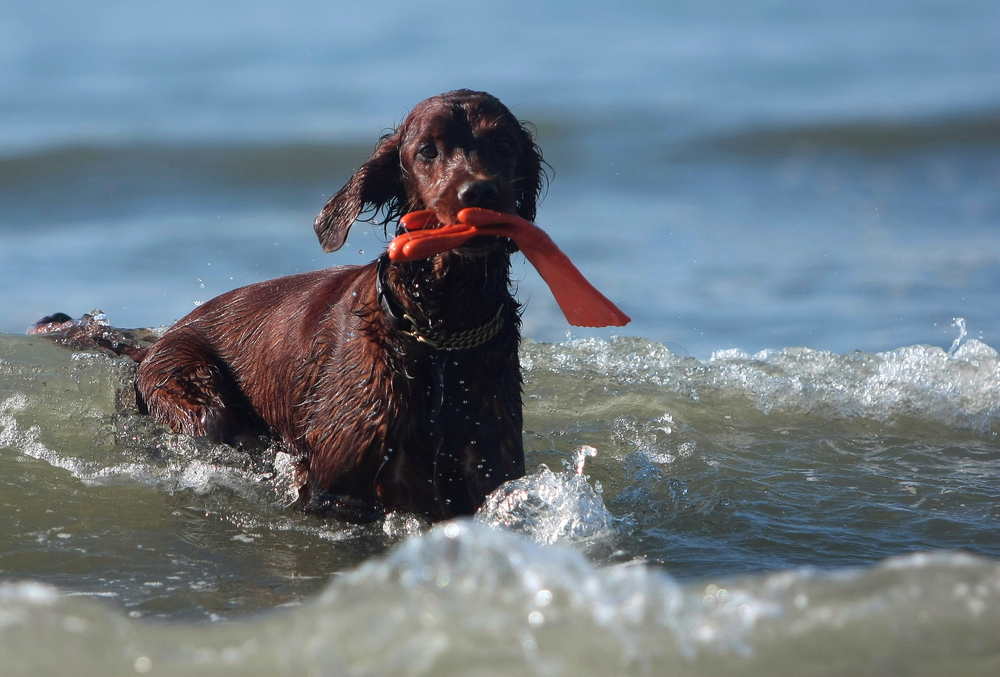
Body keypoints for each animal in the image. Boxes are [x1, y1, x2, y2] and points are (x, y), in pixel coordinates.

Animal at [135, 90, 540, 520]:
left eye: (503, 143)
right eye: (428, 150)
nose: (479, 194)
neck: (439, 334)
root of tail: (154, 344)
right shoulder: (336, 489)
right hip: (191, 388)